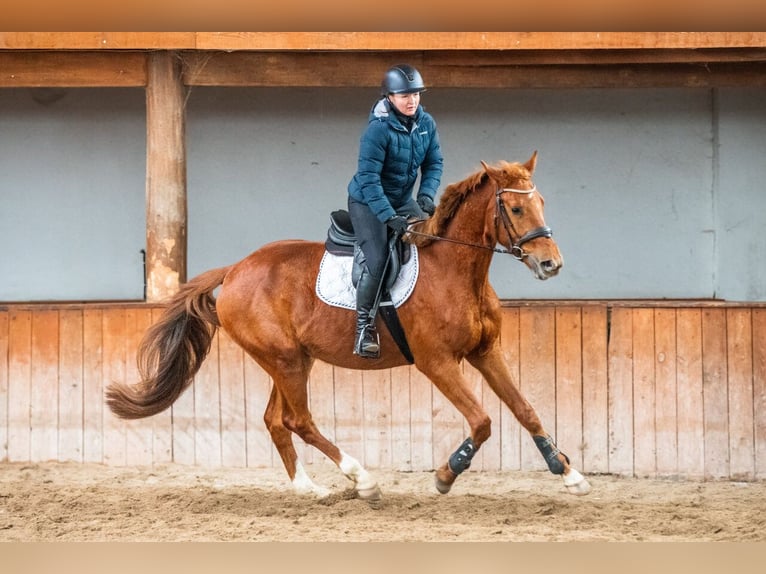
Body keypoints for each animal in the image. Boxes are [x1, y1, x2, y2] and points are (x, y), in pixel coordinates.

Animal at [105, 152, 592, 508]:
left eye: (542, 203)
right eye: (515, 207)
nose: (551, 264)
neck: (456, 270)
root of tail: (236, 268)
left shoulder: (485, 351)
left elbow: (525, 410)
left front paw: (569, 474)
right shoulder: (437, 362)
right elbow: (483, 420)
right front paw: (445, 475)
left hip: (292, 359)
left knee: (276, 420)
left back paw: (309, 489)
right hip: (283, 359)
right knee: (298, 420)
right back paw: (362, 480)